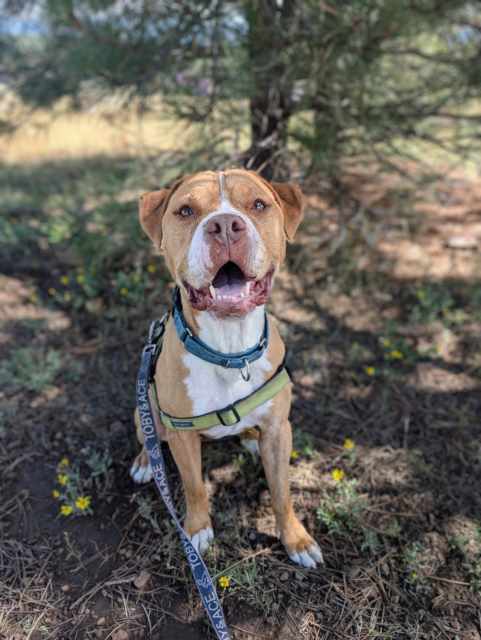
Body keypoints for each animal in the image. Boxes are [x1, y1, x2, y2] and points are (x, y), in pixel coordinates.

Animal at [130, 168, 322, 568]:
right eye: (186, 211)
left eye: (259, 205)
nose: (225, 226)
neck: (229, 350)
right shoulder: (183, 435)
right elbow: (194, 487)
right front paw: (197, 530)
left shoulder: (279, 430)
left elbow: (281, 492)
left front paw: (295, 540)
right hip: (145, 411)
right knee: (149, 437)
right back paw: (144, 462)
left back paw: (248, 437)